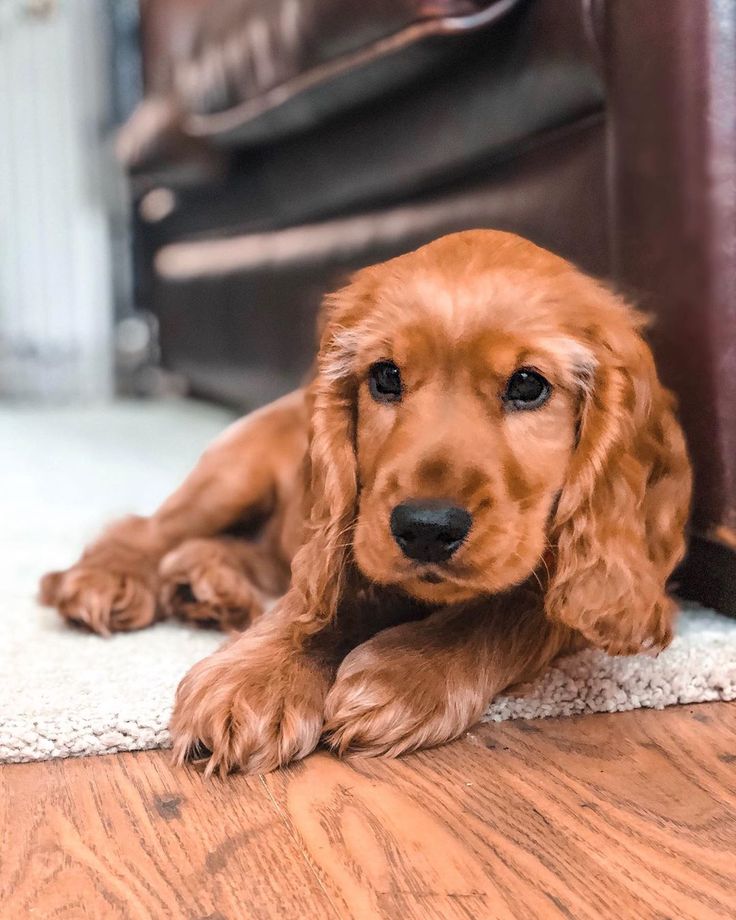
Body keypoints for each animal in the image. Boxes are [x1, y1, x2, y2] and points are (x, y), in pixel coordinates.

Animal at [40, 228, 692, 768]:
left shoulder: (610, 583)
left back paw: (210, 584)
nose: (425, 528)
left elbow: (514, 608)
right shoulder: (349, 531)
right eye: (385, 377)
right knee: (144, 529)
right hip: (234, 473)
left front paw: (405, 674)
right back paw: (114, 580)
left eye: (529, 385)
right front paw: (256, 677)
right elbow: (322, 598)